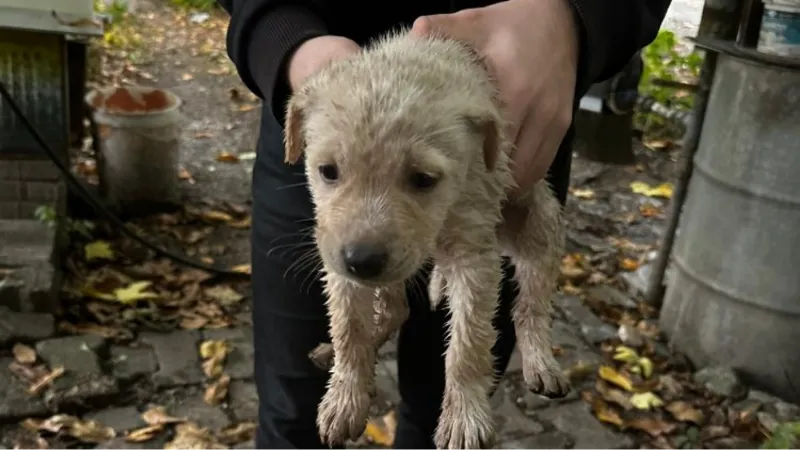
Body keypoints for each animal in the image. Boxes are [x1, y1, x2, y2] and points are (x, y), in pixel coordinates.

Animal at [284, 30, 564, 450]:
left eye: (423, 179)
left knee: (530, 305)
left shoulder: (474, 257)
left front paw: (464, 415)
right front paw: (345, 395)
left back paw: (541, 361)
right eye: (328, 171)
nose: (362, 261)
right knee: (395, 310)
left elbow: (468, 343)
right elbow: (350, 327)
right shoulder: (337, 253)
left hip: (537, 221)